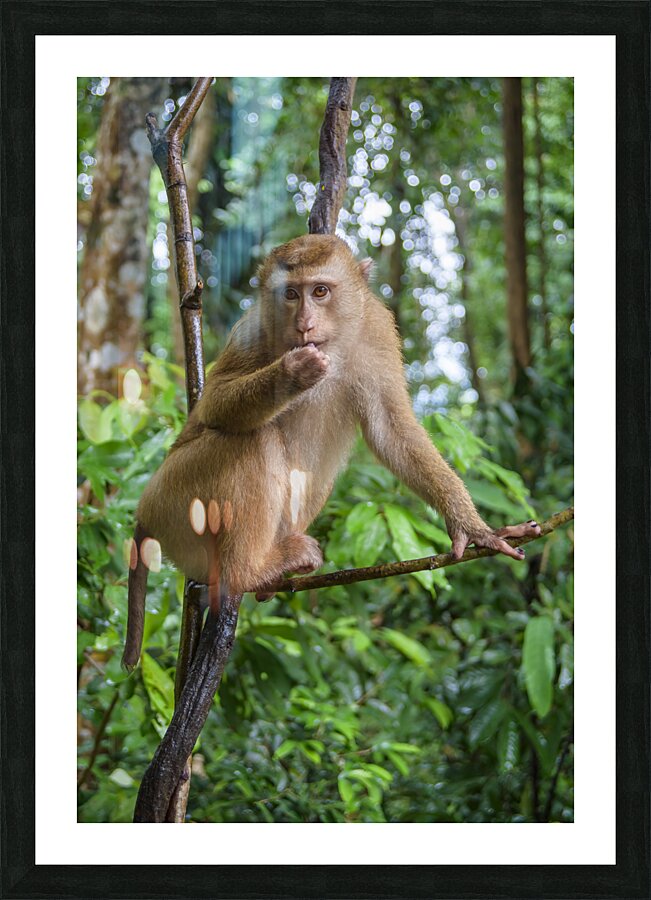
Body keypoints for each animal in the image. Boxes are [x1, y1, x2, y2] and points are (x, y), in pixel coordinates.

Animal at [122, 234, 541, 670]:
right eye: (291, 294)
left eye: (320, 291)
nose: (304, 324)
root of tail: (144, 514)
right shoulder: (254, 329)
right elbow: (213, 406)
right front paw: (292, 372)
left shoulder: (377, 329)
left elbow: (392, 431)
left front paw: (473, 529)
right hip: (175, 497)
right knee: (254, 440)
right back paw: (248, 572)